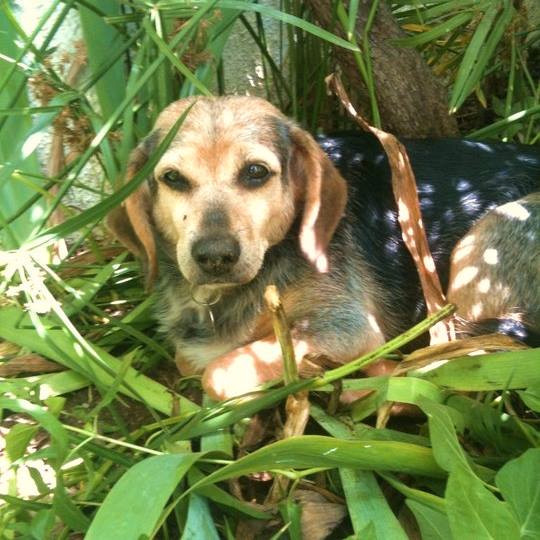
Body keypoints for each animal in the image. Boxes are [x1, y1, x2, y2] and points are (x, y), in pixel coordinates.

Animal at [109, 96, 540, 400]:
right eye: (172, 178)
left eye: (256, 172)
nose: (215, 257)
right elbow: (189, 359)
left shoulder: (346, 326)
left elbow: (217, 372)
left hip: (486, 242)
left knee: (464, 355)